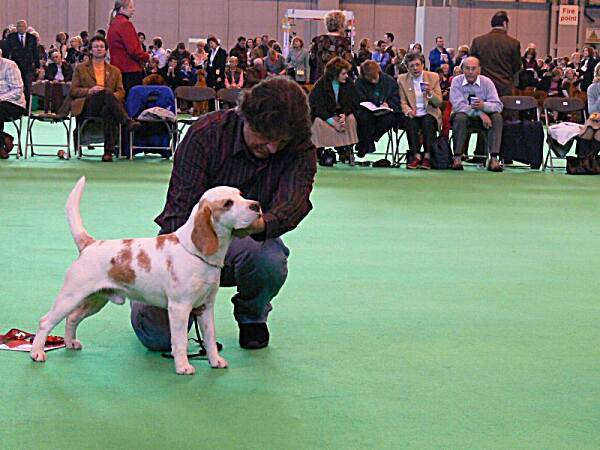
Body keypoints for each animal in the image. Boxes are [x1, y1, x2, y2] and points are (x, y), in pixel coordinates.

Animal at [29, 178, 260, 374]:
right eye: (228, 203)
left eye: (241, 195)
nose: (256, 205)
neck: (196, 253)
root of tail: (90, 244)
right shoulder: (180, 308)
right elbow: (180, 341)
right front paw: (183, 366)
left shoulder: (205, 307)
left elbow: (210, 339)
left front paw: (215, 361)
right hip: (70, 296)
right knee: (46, 321)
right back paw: (36, 353)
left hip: (95, 300)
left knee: (72, 318)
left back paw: (70, 342)